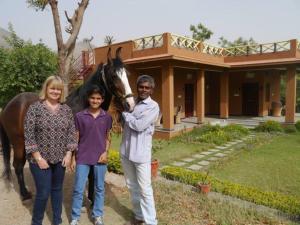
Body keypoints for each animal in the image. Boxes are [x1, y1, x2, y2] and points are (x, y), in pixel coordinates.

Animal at [0, 47, 134, 200]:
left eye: (127, 74)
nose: (130, 104)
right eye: (113, 75)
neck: (84, 104)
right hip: (18, 142)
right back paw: (25, 194)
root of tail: (8, 105)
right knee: (18, 165)